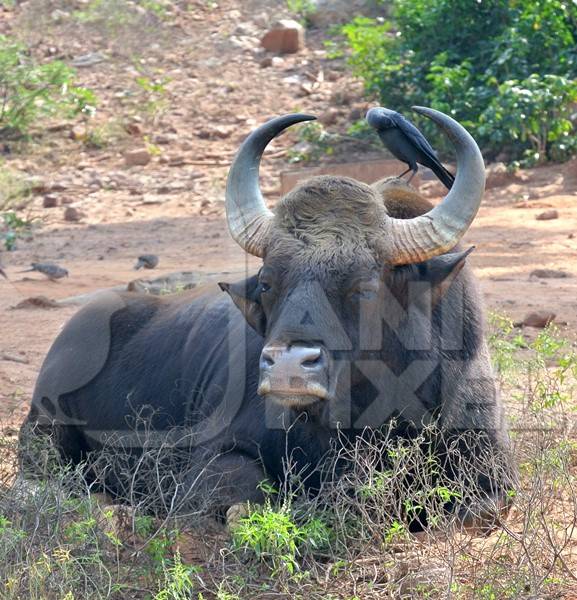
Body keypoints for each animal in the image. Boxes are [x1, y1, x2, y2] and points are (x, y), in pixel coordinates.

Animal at [19, 109, 512, 528]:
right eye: (268, 283)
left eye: (365, 287)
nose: (289, 367)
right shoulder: (207, 464)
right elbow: (248, 493)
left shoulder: (494, 479)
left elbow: (475, 511)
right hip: (43, 433)